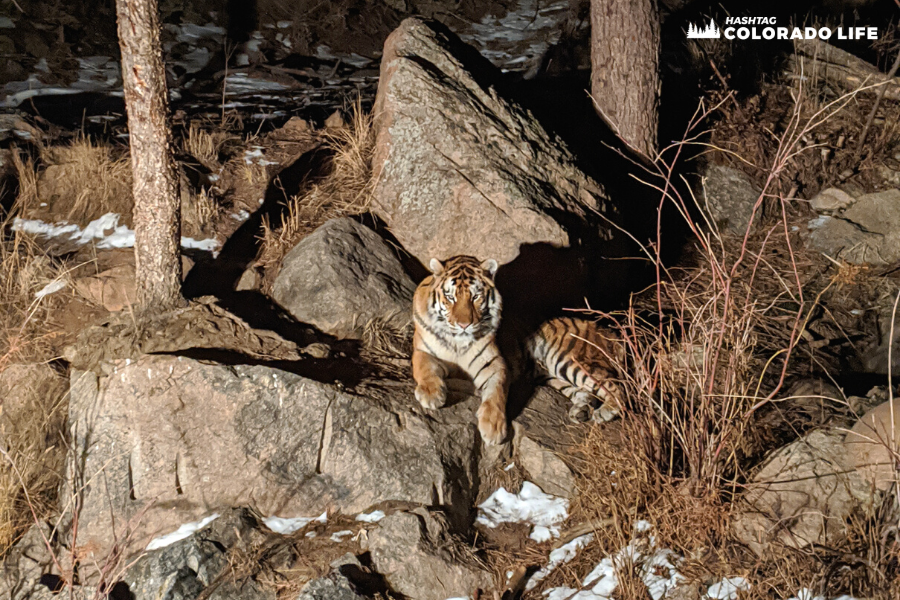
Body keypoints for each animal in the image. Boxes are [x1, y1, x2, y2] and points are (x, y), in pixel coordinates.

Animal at [412, 253, 624, 446]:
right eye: (450, 297)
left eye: (475, 296)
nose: (464, 325)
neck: (458, 340)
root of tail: (605, 330)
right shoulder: (422, 351)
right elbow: (424, 367)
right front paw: (431, 395)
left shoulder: (495, 364)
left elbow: (496, 394)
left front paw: (493, 428)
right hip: (555, 375)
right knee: (588, 391)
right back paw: (580, 411)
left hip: (566, 358)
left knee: (618, 387)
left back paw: (604, 412)